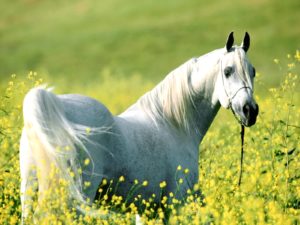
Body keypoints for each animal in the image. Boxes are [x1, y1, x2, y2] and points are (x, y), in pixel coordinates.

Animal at [19, 32, 258, 222]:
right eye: (228, 71)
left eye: (253, 71)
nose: (250, 110)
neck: (173, 124)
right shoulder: (175, 203)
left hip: (30, 190)